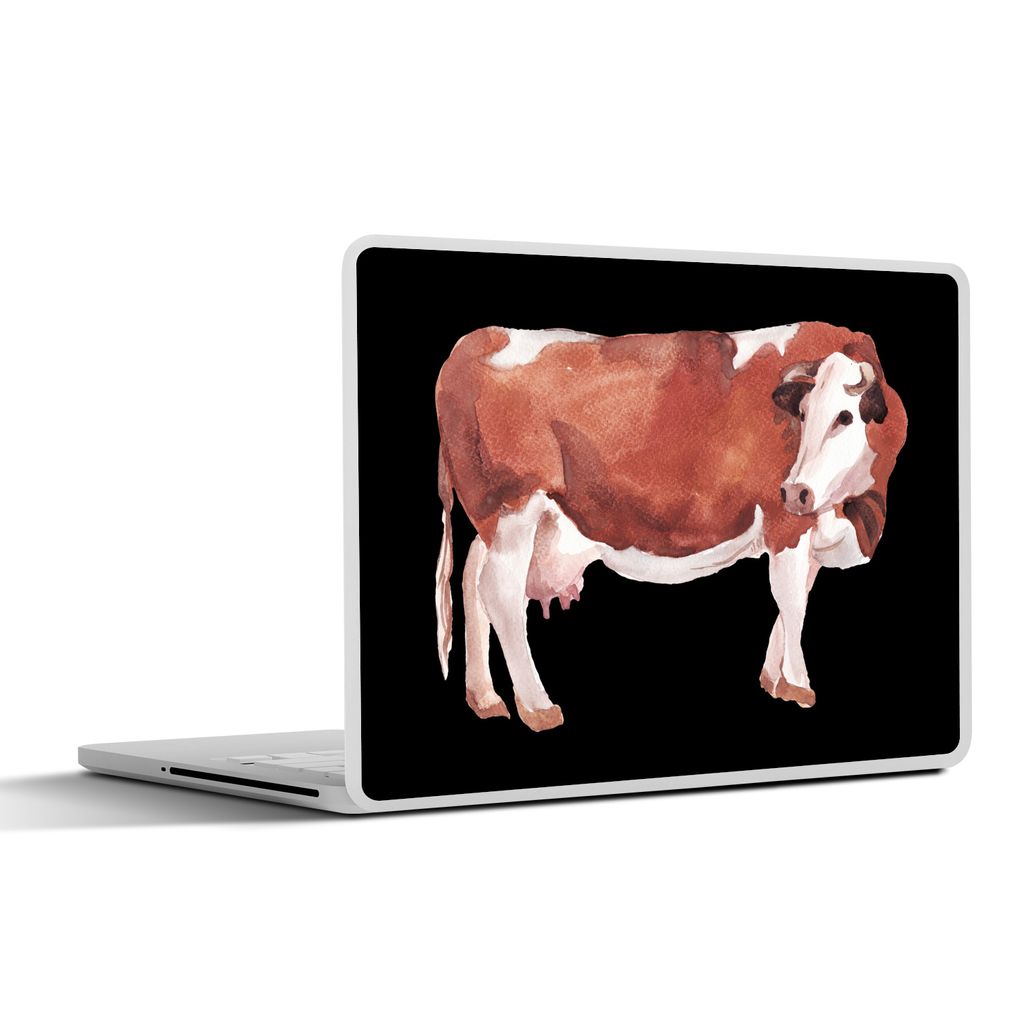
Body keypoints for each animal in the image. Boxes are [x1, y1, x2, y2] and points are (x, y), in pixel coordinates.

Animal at [434, 321, 907, 731]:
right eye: (804, 414)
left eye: (845, 417)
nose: (795, 492)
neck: (859, 510)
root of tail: (482, 337)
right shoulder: (786, 525)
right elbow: (791, 600)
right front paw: (797, 684)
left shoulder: (814, 529)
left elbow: (797, 599)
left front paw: (774, 679)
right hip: (515, 504)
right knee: (500, 591)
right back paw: (537, 706)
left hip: (504, 522)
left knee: (472, 579)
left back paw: (485, 697)